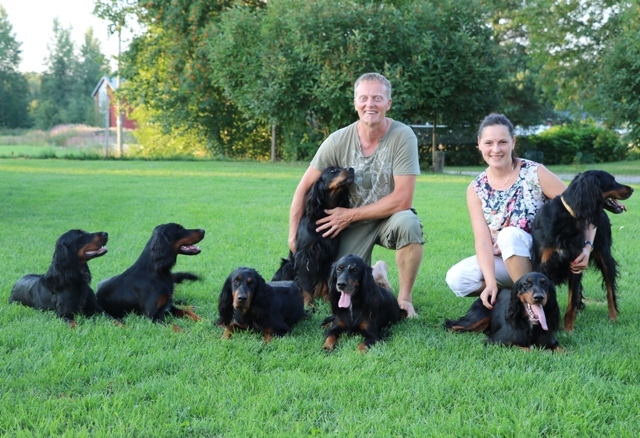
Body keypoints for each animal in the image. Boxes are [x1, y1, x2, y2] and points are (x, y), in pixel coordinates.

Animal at [273, 166, 354, 307]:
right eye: (333, 170)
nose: (351, 169)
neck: (322, 216)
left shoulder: (329, 255)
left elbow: (327, 280)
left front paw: (327, 300)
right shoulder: (304, 256)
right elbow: (305, 282)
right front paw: (308, 304)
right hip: (286, 266)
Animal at [531, 170, 633, 332]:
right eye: (612, 180)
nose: (633, 189)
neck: (568, 216)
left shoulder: (576, 263)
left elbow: (571, 302)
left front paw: (568, 330)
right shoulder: (542, 265)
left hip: (605, 257)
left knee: (610, 291)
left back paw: (613, 317)